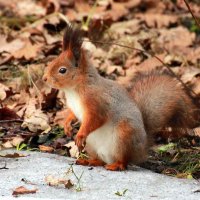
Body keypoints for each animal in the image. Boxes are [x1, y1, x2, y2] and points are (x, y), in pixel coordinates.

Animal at [42, 25, 195, 171]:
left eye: (62, 70)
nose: (44, 78)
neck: (74, 90)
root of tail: (141, 150)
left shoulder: (97, 102)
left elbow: (95, 119)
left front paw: (79, 135)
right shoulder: (75, 106)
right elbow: (72, 114)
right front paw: (67, 125)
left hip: (124, 135)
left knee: (124, 160)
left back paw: (116, 165)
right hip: (93, 145)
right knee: (100, 160)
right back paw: (89, 161)